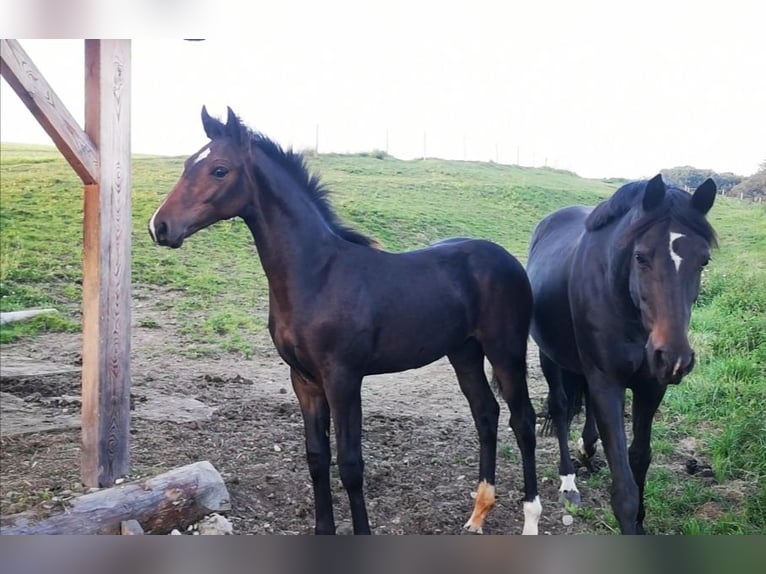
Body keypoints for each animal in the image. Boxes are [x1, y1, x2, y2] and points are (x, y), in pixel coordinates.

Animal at [148, 106, 541, 535]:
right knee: (486, 414)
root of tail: (505, 258)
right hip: (464, 353)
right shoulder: (304, 380)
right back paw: (477, 514)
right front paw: (323, 529)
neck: (318, 274)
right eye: (188, 164)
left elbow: (351, 465)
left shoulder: (344, 379)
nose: (160, 226)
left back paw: (531, 518)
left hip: (505, 352)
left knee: (523, 421)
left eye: (219, 170)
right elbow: (317, 458)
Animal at [526, 174, 717, 534]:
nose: (674, 358)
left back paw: (587, 451)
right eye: (640, 257)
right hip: (550, 358)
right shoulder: (608, 383)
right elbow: (624, 484)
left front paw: (641, 520)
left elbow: (639, 457)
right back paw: (568, 481)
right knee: (560, 408)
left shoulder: (651, 386)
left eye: (704, 260)